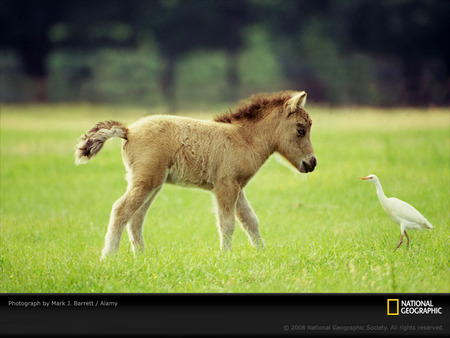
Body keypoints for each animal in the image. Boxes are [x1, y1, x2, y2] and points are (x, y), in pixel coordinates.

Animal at [74, 90, 316, 258]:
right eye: (300, 129)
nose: (311, 163)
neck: (244, 139)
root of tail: (129, 131)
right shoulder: (226, 185)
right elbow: (227, 223)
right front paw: (225, 257)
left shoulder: (237, 187)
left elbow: (250, 221)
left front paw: (262, 254)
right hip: (145, 182)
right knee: (121, 209)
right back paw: (109, 256)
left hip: (152, 184)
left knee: (136, 218)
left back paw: (141, 257)